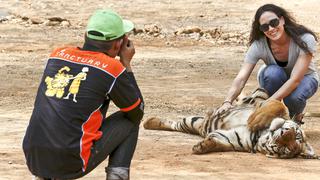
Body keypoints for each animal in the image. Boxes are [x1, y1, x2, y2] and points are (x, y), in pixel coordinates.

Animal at [144, 88, 318, 159]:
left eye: (286, 148)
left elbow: (217, 142)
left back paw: (149, 122)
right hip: (260, 93)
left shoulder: (232, 139)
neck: (261, 136)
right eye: (296, 135)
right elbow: (278, 106)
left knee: (179, 125)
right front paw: (255, 118)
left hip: (195, 124)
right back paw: (148, 122)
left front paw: (201, 147)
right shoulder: (266, 104)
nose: (285, 132)